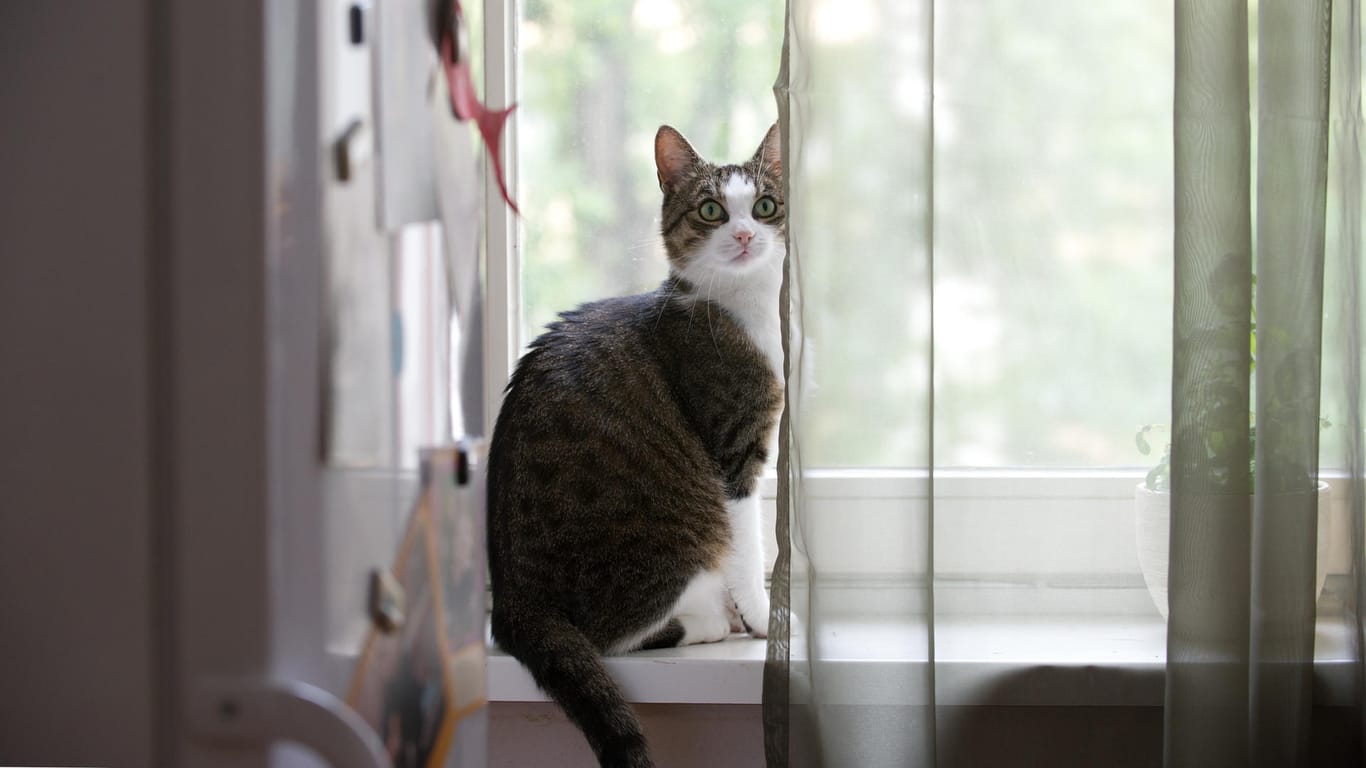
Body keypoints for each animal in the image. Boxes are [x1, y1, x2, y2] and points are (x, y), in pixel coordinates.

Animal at [486, 122, 786, 759]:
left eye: (766, 207)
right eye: (711, 210)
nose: (745, 234)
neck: (743, 311)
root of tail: (514, 604)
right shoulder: (734, 447)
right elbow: (748, 545)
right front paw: (760, 617)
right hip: (666, 534)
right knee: (615, 634)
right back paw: (709, 621)